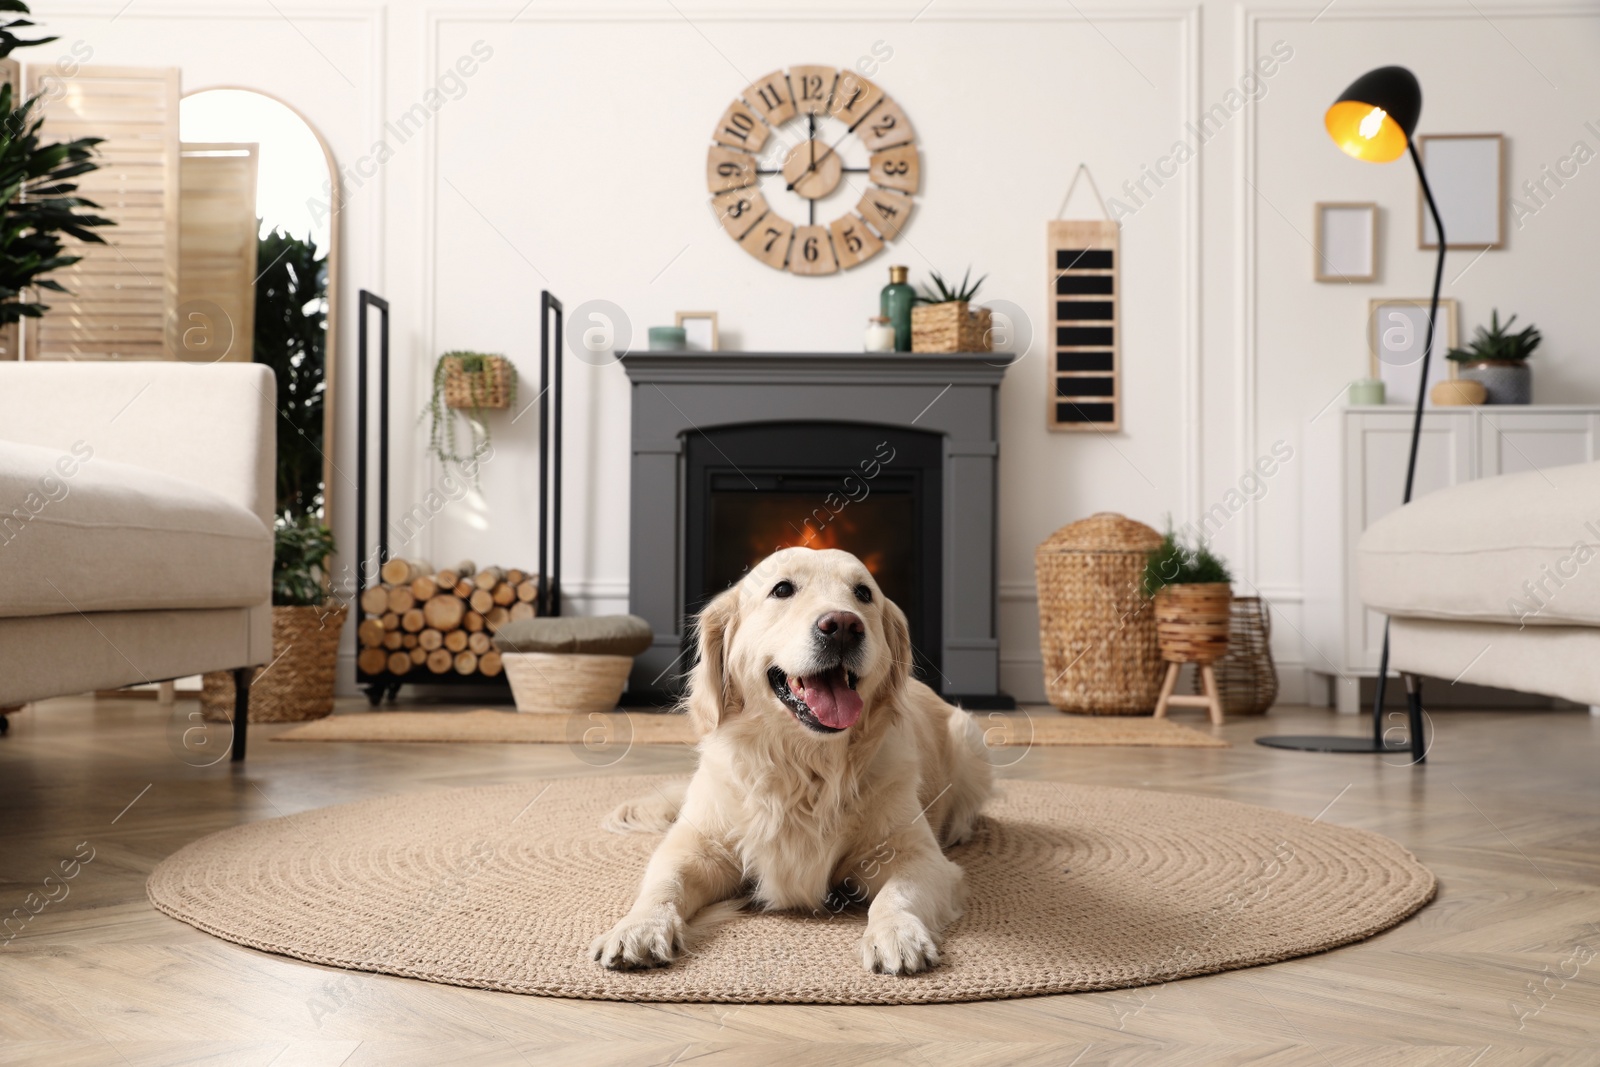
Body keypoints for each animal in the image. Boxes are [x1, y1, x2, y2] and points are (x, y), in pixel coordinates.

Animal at [595, 550, 992, 979]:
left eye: (863, 593)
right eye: (782, 589)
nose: (843, 626)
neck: (805, 766)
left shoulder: (918, 856)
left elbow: (896, 894)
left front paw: (897, 933)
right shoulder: (694, 847)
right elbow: (664, 885)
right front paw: (638, 927)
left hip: (969, 736)